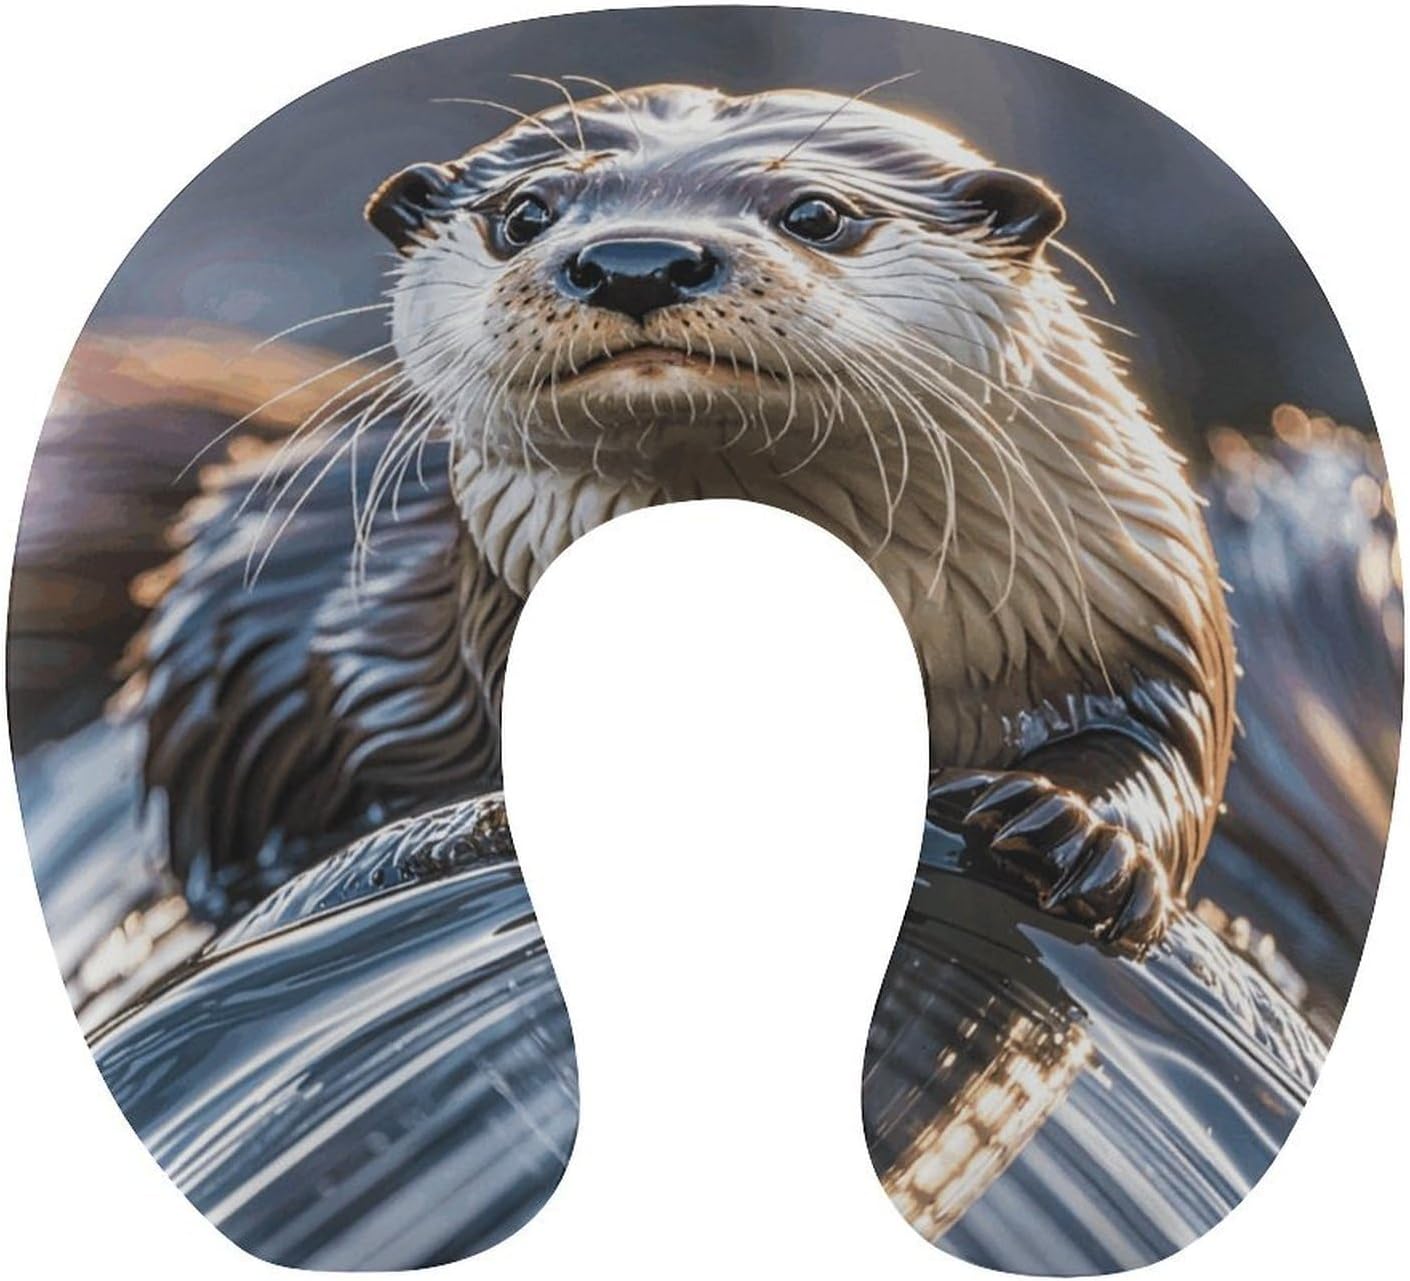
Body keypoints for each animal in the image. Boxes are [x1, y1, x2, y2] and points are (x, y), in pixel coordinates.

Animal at [123, 83, 1235, 949]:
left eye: (816, 213)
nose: (637, 260)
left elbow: (1165, 750)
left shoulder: (1134, 605)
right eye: (525, 213)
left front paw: (1069, 831)